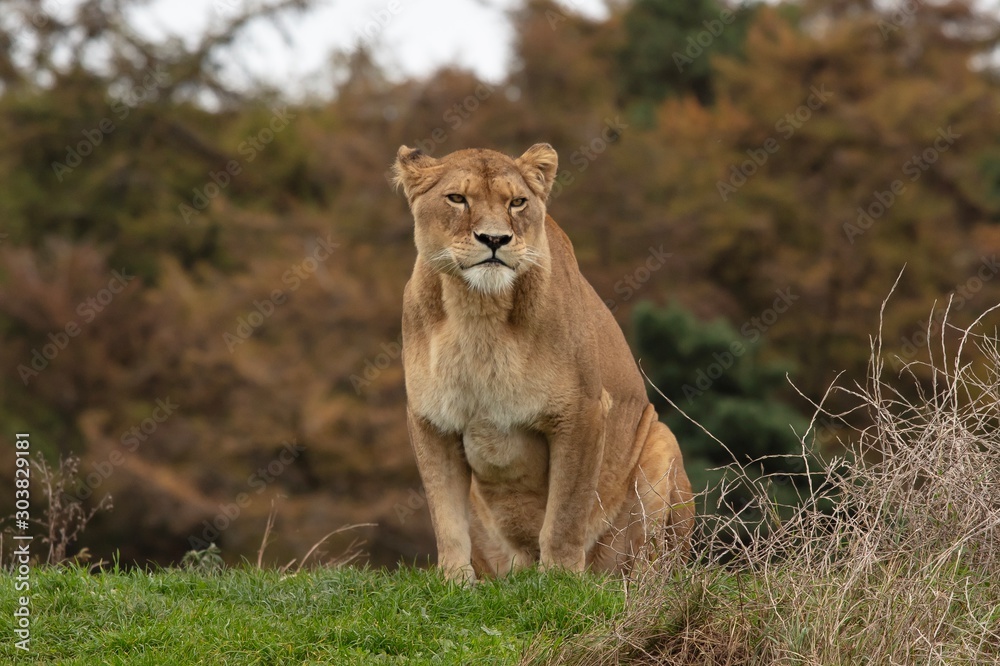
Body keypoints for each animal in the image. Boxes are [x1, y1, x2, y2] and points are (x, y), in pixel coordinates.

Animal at [392, 143, 693, 582]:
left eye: (517, 202)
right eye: (457, 198)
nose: (495, 239)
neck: (478, 311)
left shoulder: (582, 412)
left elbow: (565, 512)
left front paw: (562, 580)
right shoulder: (431, 421)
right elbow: (446, 518)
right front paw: (454, 582)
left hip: (661, 444)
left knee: (655, 563)